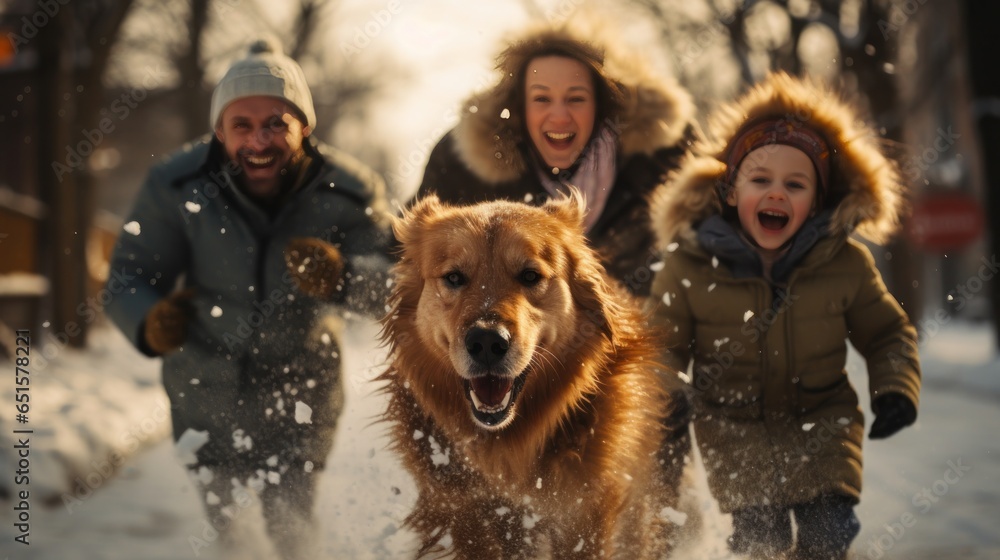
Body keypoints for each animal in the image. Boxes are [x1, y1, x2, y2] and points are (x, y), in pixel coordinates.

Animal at [378, 195, 684, 556]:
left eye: (530, 275)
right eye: (454, 277)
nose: (486, 341)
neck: (507, 452)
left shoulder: (584, 512)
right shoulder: (463, 509)